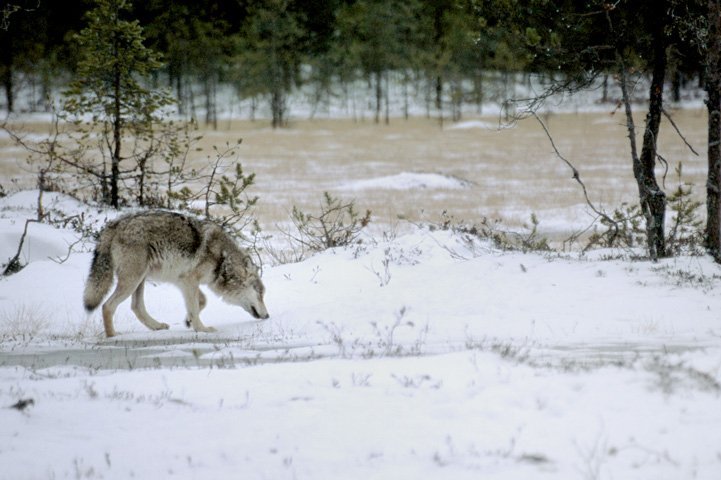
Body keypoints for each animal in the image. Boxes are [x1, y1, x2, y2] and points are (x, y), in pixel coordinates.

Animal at [81, 210, 268, 338]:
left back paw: (156, 326)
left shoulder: (183, 281)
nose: (267, 316)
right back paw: (113, 336)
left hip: (140, 280)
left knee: (136, 306)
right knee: (107, 306)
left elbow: (201, 301)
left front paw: (188, 321)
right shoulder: (189, 280)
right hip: (132, 280)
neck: (222, 260)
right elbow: (195, 306)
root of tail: (115, 223)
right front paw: (202, 329)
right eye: (260, 294)